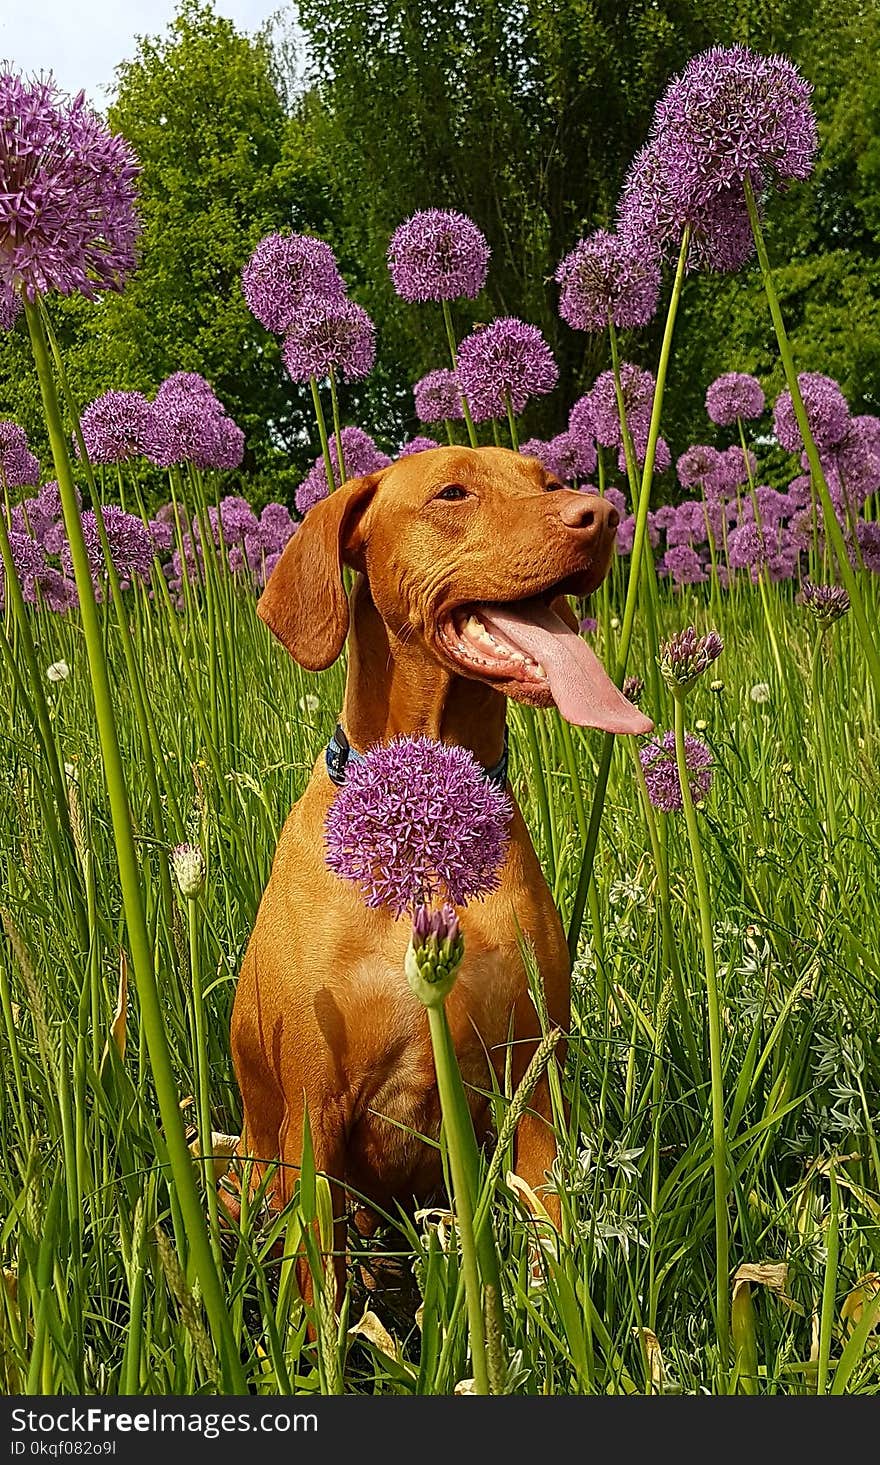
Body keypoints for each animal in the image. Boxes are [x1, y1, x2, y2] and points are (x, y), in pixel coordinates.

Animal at [229, 442, 647, 1295]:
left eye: (549, 483)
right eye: (453, 492)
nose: (600, 514)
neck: (426, 826)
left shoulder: (534, 1086)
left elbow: (552, 1246)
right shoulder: (314, 1111)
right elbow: (319, 1290)